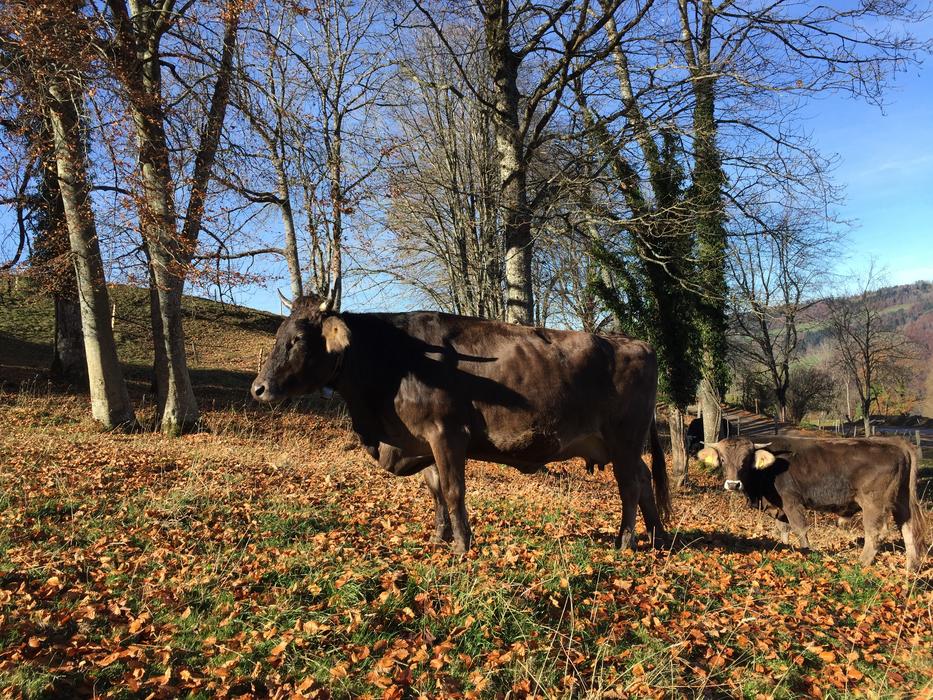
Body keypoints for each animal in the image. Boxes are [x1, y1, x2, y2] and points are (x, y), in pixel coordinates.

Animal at [251, 294, 671, 554]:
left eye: (298, 338)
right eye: (278, 334)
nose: (259, 388)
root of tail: (637, 343)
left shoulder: (446, 433)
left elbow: (453, 491)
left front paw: (461, 545)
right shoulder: (421, 440)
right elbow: (435, 489)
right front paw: (439, 537)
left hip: (624, 438)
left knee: (631, 486)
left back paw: (626, 541)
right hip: (620, 444)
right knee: (644, 479)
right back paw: (659, 536)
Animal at [698, 436, 926, 570]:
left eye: (745, 460)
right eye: (723, 459)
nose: (733, 484)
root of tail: (896, 444)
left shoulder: (791, 502)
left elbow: (800, 529)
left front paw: (805, 551)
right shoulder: (780, 508)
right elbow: (783, 530)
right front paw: (786, 546)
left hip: (873, 503)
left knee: (875, 532)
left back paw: (861, 563)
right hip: (902, 502)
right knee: (908, 529)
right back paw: (910, 568)